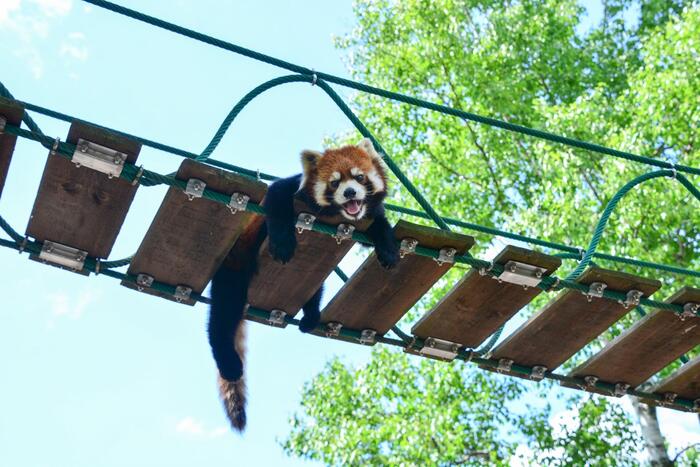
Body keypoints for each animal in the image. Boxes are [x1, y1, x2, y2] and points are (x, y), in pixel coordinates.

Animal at [208, 138, 396, 432]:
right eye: (334, 183)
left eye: (359, 177)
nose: (350, 193)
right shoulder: (291, 190)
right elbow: (277, 200)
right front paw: (283, 242)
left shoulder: (364, 217)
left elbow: (376, 225)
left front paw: (387, 246)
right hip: (235, 265)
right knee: (223, 313)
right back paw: (228, 362)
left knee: (314, 287)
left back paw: (310, 315)